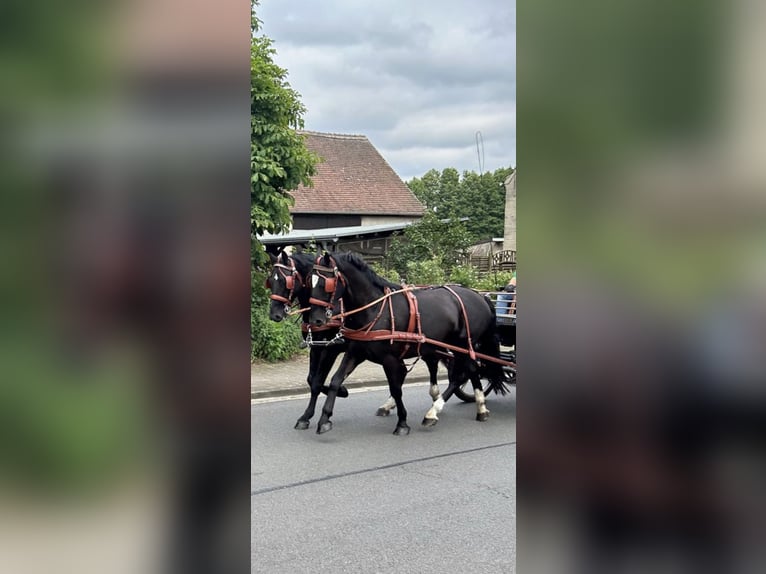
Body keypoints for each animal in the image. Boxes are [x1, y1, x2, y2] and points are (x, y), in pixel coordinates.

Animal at [308, 252, 508, 436]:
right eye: (309, 282)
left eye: (326, 283)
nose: (316, 320)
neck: (375, 309)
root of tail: (480, 296)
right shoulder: (356, 353)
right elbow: (335, 380)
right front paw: (324, 419)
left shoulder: (390, 359)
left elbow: (396, 389)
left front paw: (402, 423)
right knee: (471, 371)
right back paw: (477, 408)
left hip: (464, 345)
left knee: (464, 373)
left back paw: (438, 412)